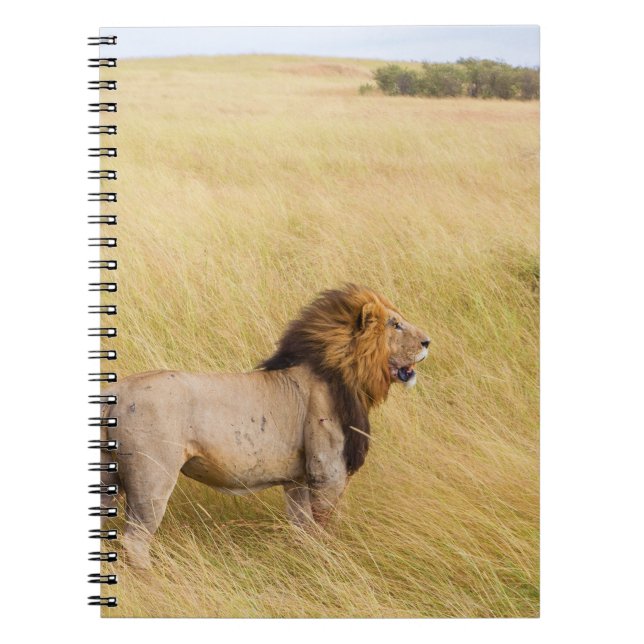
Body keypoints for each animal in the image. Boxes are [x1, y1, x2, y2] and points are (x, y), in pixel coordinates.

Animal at [101, 284, 431, 568]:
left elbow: (302, 528)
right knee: (135, 540)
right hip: (153, 477)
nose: (427, 342)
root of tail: (116, 391)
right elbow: (323, 526)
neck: (344, 371)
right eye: (395, 324)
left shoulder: (298, 479)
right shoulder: (327, 471)